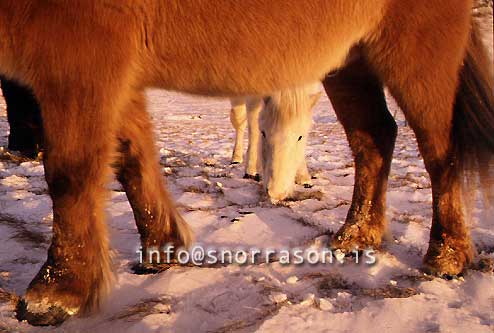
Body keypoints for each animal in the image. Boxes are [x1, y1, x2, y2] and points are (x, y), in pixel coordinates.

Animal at [0, 0, 492, 326]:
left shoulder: (80, 62)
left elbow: (69, 174)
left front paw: (55, 292)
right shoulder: (115, 76)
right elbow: (133, 160)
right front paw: (161, 248)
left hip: (417, 53)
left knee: (440, 151)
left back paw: (446, 255)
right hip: (349, 59)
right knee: (374, 137)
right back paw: (357, 236)